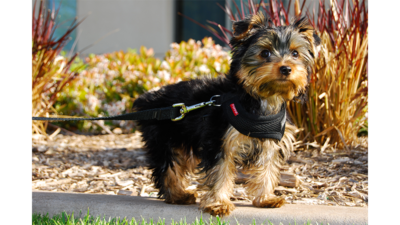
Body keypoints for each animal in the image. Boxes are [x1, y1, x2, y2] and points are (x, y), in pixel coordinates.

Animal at [133, 12, 320, 216]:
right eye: (265, 53)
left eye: (295, 54)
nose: (286, 68)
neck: (262, 98)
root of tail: (148, 99)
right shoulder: (220, 139)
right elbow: (220, 172)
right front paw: (219, 203)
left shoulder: (271, 143)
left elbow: (267, 169)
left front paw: (265, 198)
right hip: (164, 137)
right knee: (167, 166)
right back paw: (177, 195)